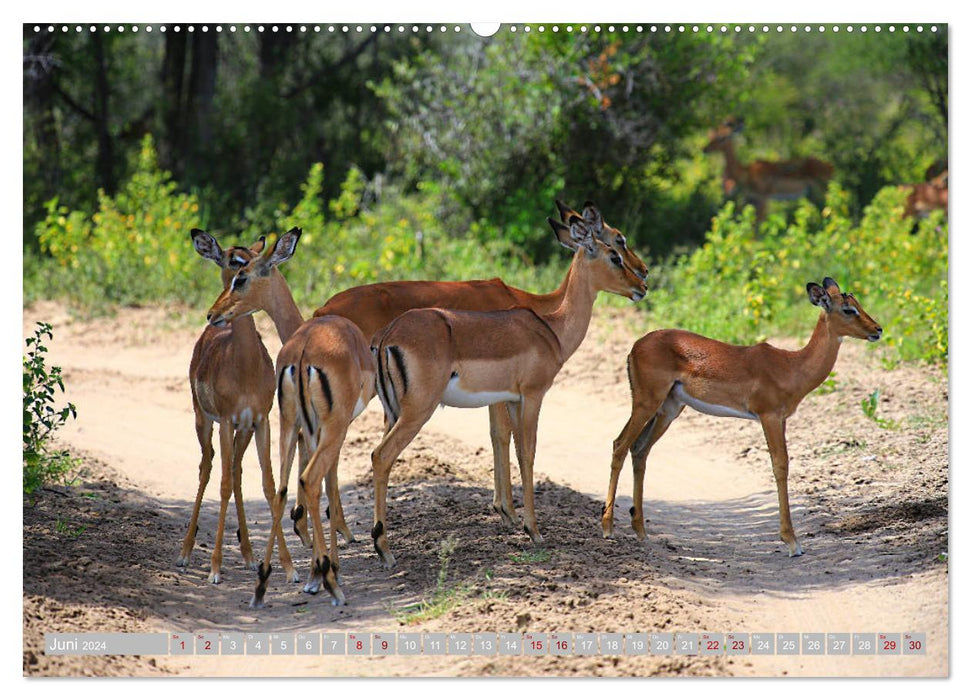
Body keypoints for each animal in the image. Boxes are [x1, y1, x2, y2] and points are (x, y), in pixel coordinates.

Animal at [600, 276, 880, 556]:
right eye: (848, 309)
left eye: (858, 304)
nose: (878, 329)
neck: (792, 366)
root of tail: (635, 347)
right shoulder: (769, 416)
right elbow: (780, 465)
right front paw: (792, 542)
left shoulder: (782, 419)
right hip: (646, 403)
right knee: (620, 444)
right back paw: (608, 528)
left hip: (668, 409)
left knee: (639, 450)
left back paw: (641, 531)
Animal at [708, 115, 836, 224]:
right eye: (711, 136)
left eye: (722, 138)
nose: (705, 149)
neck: (747, 173)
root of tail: (831, 167)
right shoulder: (753, 200)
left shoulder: (763, 198)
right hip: (812, 195)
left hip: (822, 191)